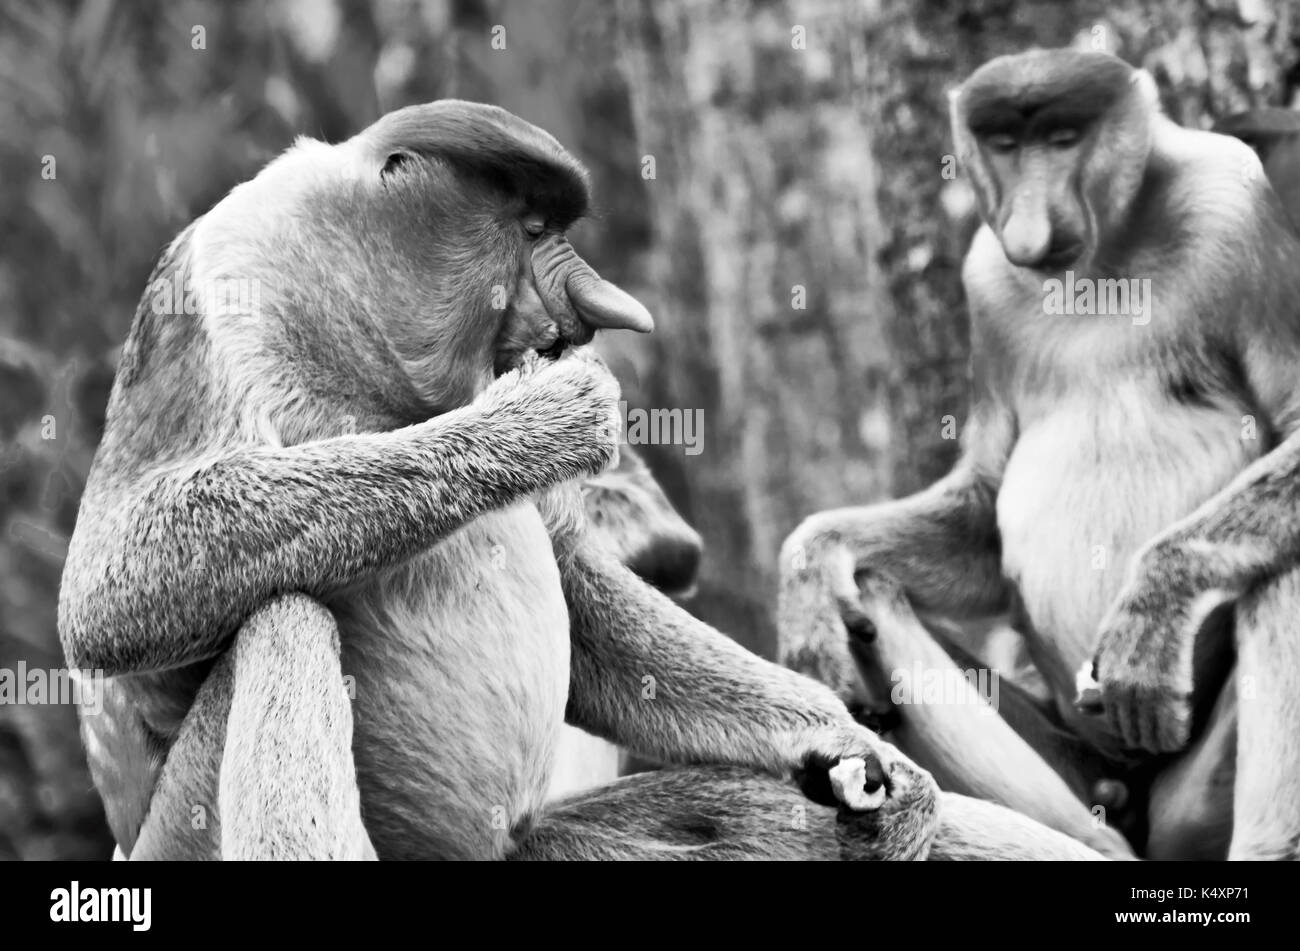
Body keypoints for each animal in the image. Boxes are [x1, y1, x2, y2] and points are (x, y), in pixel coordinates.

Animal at [61, 99, 955, 861]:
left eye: (553, 227)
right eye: (529, 229)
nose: (594, 312)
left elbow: (574, 581)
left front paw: (846, 745)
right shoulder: (215, 286)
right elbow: (108, 593)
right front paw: (544, 417)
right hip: (179, 834)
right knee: (282, 617)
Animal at [779, 49, 1300, 861]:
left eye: (1062, 138)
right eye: (1003, 144)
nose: (1027, 223)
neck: (1107, 255)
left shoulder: (1235, 203)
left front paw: (1152, 610)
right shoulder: (985, 279)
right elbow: (984, 515)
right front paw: (808, 570)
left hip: (1191, 797)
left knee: (1280, 567)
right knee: (868, 588)